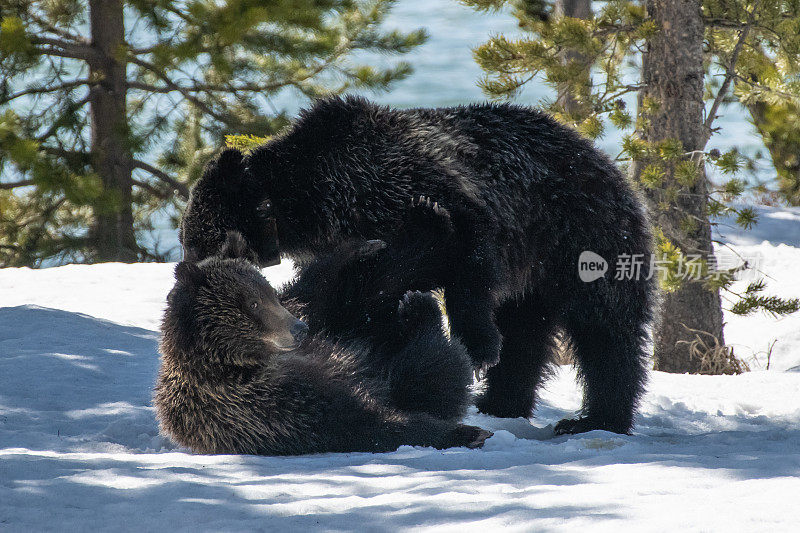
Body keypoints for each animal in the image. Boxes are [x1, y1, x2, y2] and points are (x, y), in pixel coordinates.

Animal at [180, 96, 656, 436]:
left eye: (196, 242)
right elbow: (363, 288)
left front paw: (477, 345)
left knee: (606, 329)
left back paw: (596, 417)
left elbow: (468, 258)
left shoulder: (418, 183)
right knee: (527, 334)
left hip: (582, 236)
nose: (185, 273)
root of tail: (606, 160)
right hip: (537, 276)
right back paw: (501, 402)